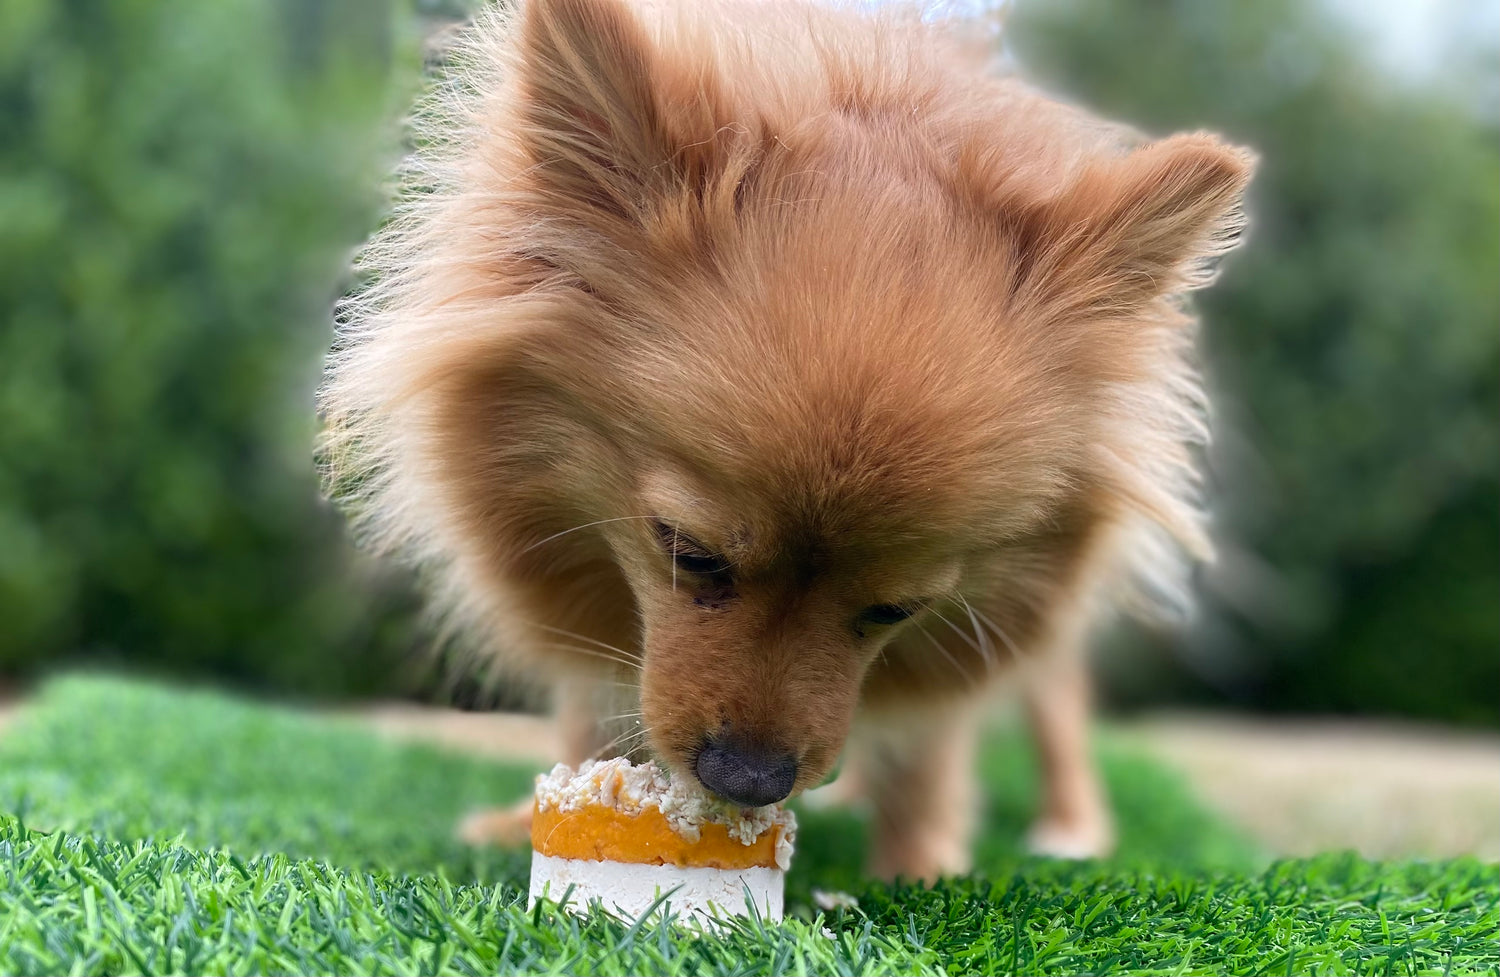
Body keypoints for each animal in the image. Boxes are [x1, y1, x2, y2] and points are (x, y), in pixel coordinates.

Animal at [319, 0, 1254, 876]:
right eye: (690, 553)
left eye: (896, 610)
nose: (749, 778)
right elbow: (601, 690)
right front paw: (563, 803)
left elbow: (931, 744)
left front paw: (918, 864)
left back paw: (1070, 826)